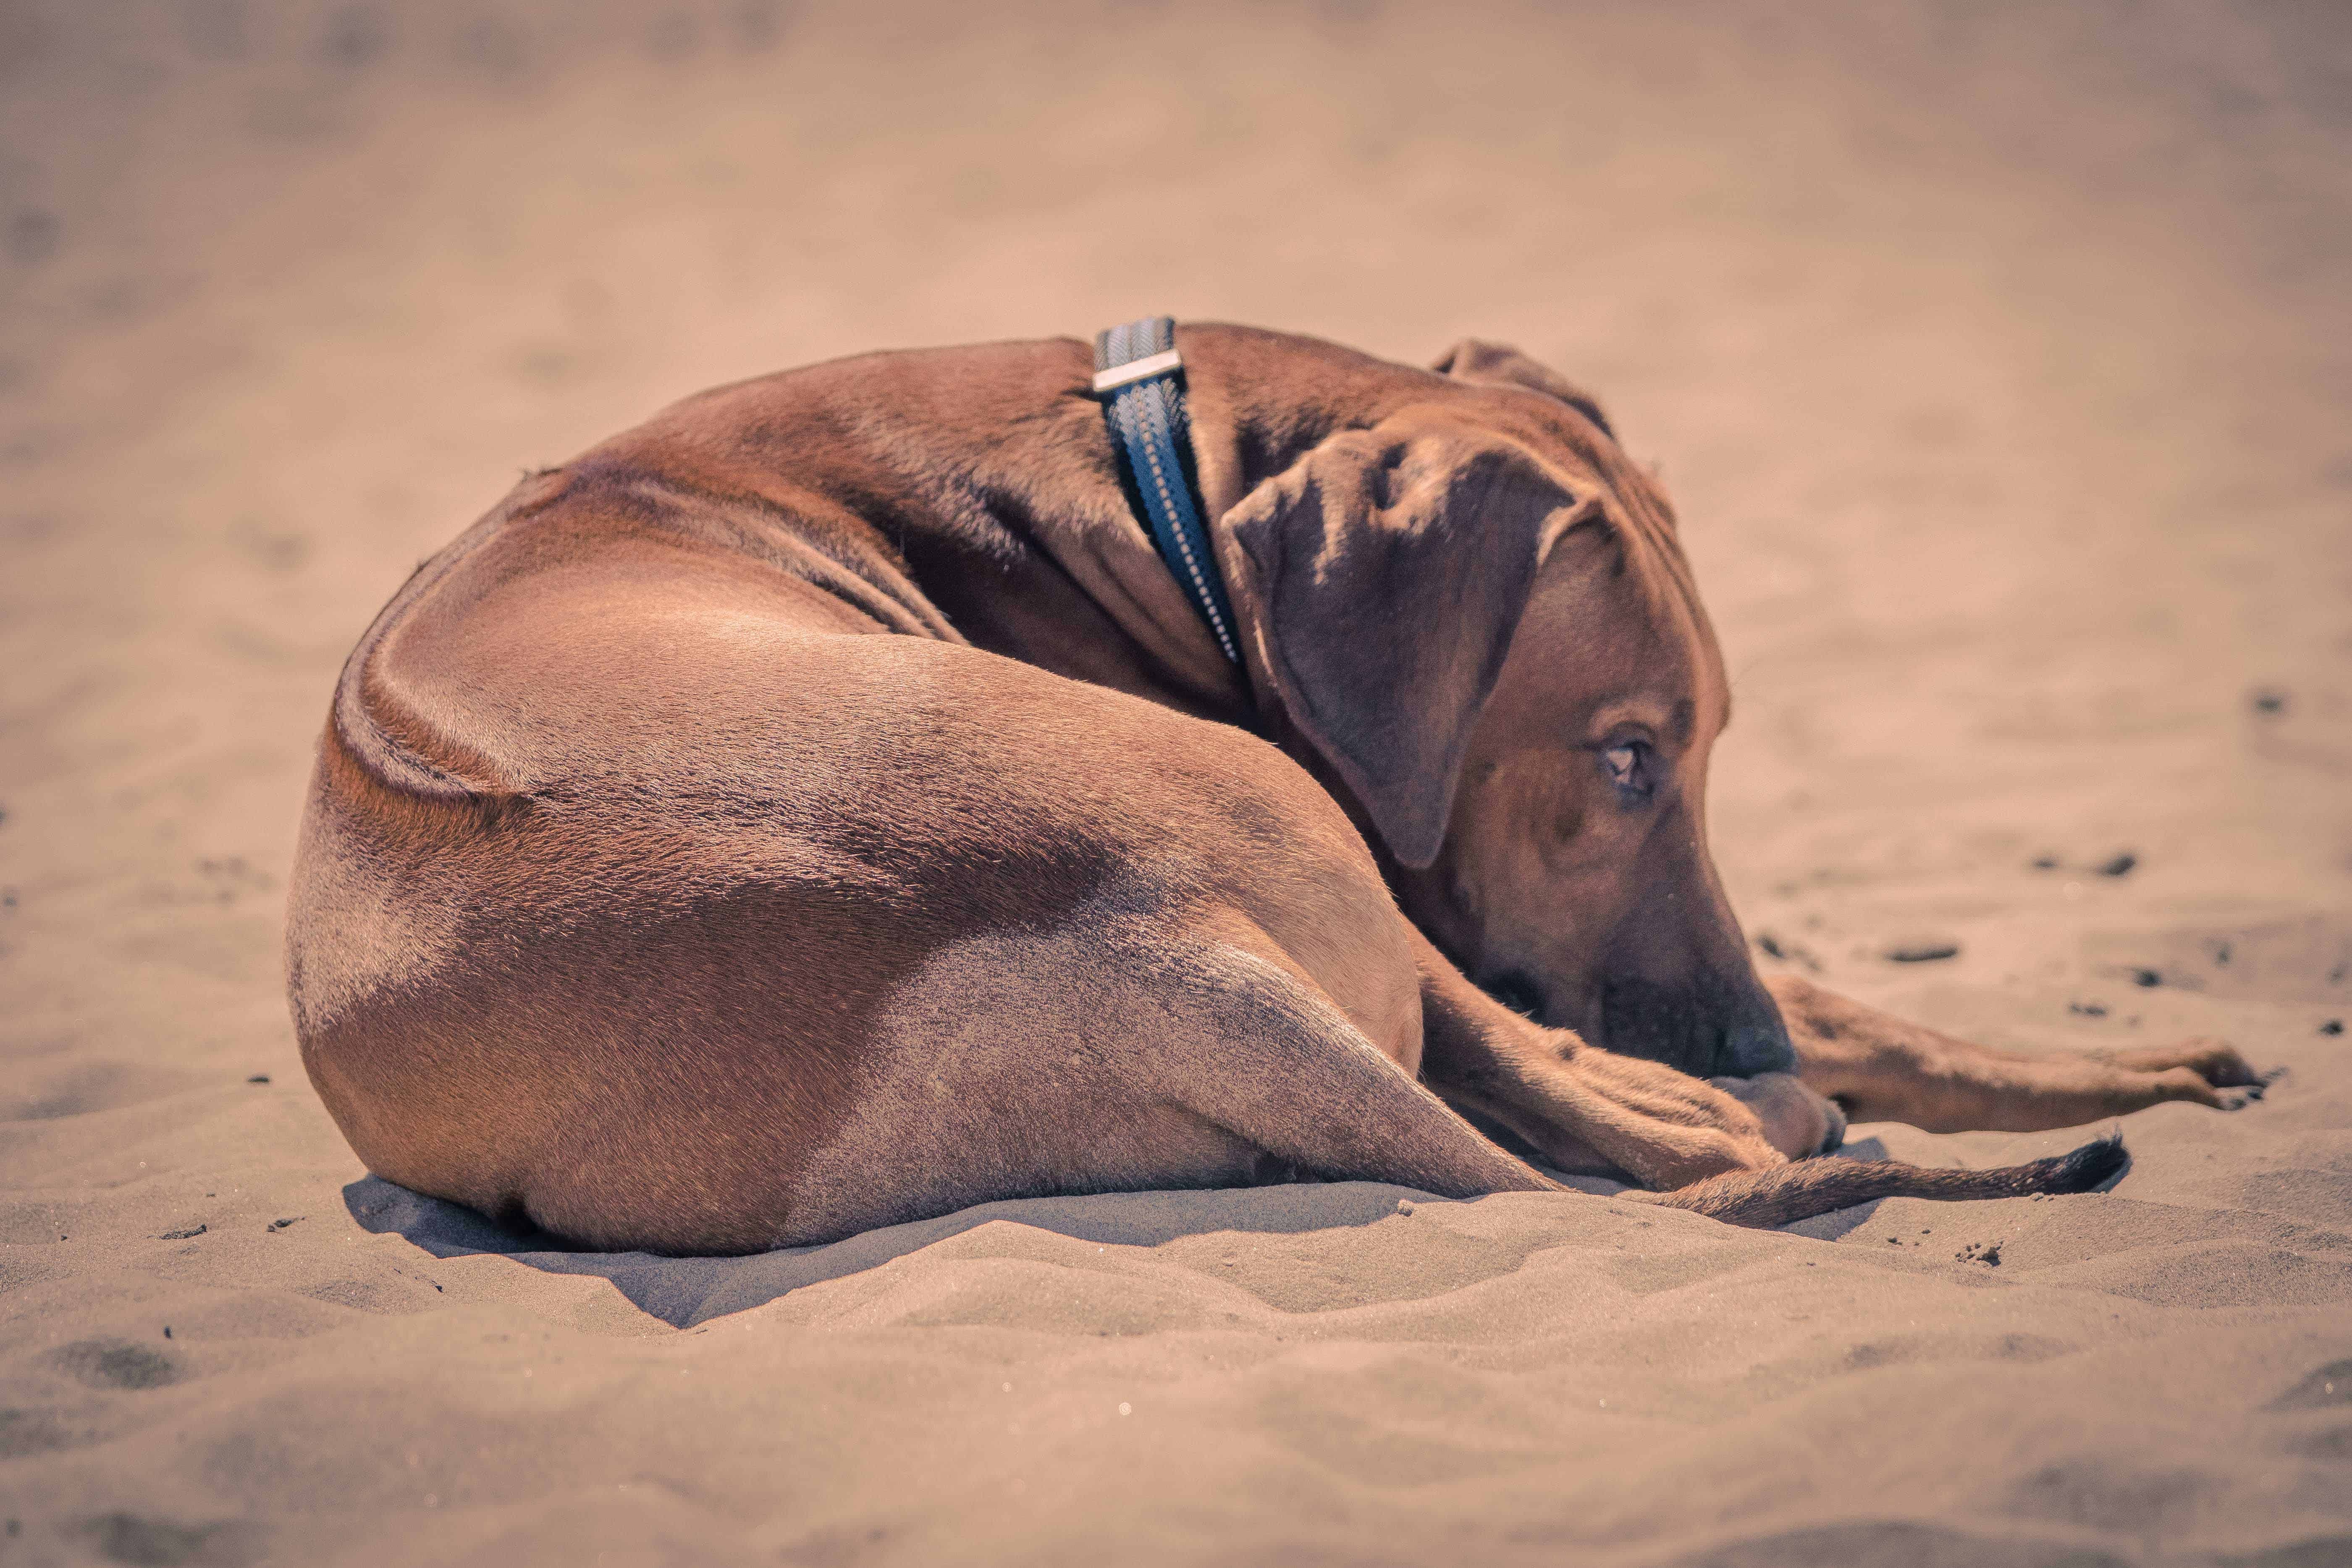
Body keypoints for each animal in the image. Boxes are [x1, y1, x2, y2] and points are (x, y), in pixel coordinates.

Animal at [280, 324, 2258, 1260]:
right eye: (1624, 756)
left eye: (1703, 749)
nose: (1732, 1033)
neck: (1135, 466)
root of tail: (1137, 942)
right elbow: (1766, 1027)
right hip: (1296, 835)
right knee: (1658, 1129)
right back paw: (1772, 1111)